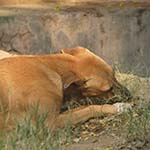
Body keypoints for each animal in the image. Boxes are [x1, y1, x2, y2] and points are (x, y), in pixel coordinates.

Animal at [0, 46, 131, 130]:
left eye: (114, 75)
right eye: (108, 89)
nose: (129, 95)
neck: (51, 68)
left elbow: (83, 107)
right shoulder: (49, 122)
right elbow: (90, 108)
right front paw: (118, 108)